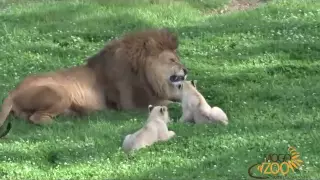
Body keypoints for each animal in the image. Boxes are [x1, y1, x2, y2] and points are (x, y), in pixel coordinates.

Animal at [0, 28, 189, 138]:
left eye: (178, 59)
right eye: (172, 60)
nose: (186, 70)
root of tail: (12, 92)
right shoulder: (131, 104)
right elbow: (169, 104)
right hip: (61, 94)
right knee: (37, 118)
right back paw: (66, 123)